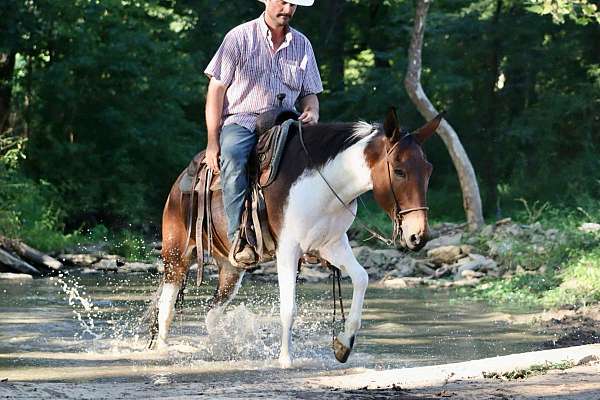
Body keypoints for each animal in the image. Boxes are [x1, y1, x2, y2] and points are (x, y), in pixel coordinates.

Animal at [148, 108, 442, 368]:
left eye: (428, 169)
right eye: (399, 170)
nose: (419, 235)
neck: (325, 185)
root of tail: (181, 181)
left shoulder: (333, 245)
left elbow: (362, 279)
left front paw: (343, 344)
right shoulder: (288, 250)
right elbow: (288, 309)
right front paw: (285, 360)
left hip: (231, 269)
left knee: (212, 312)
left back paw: (222, 348)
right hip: (176, 256)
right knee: (166, 309)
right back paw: (163, 351)